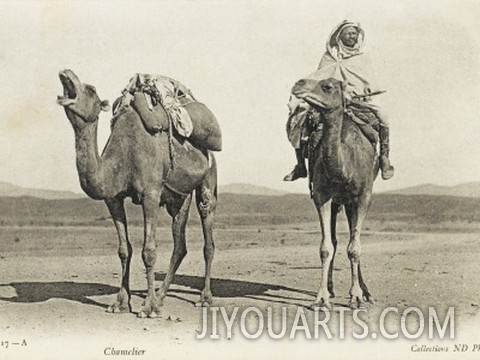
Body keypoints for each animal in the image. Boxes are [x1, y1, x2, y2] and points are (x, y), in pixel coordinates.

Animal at [55, 70, 218, 318]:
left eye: (91, 89)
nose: (66, 74)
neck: (124, 154)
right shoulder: (113, 199)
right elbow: (124, 250)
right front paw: (120, 304)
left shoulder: (150, 194)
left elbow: (148, 251)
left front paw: (148, 308)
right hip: (179, 196)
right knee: (180, 245)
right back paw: (161, 296)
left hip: (208, 176)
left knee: (207, 230)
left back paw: (203, 298)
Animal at [300, 78, 378, 310]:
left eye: (327, 87)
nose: (299, 85)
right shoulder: (322, 196)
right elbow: (326, 247)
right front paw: (321, 298)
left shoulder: (363, 197)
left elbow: (354, 248)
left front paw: (356, 297)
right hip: (338, 202)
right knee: (335, 241)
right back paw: (332, 289)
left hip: (352, 202)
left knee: (353, 240)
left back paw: (366, 293)